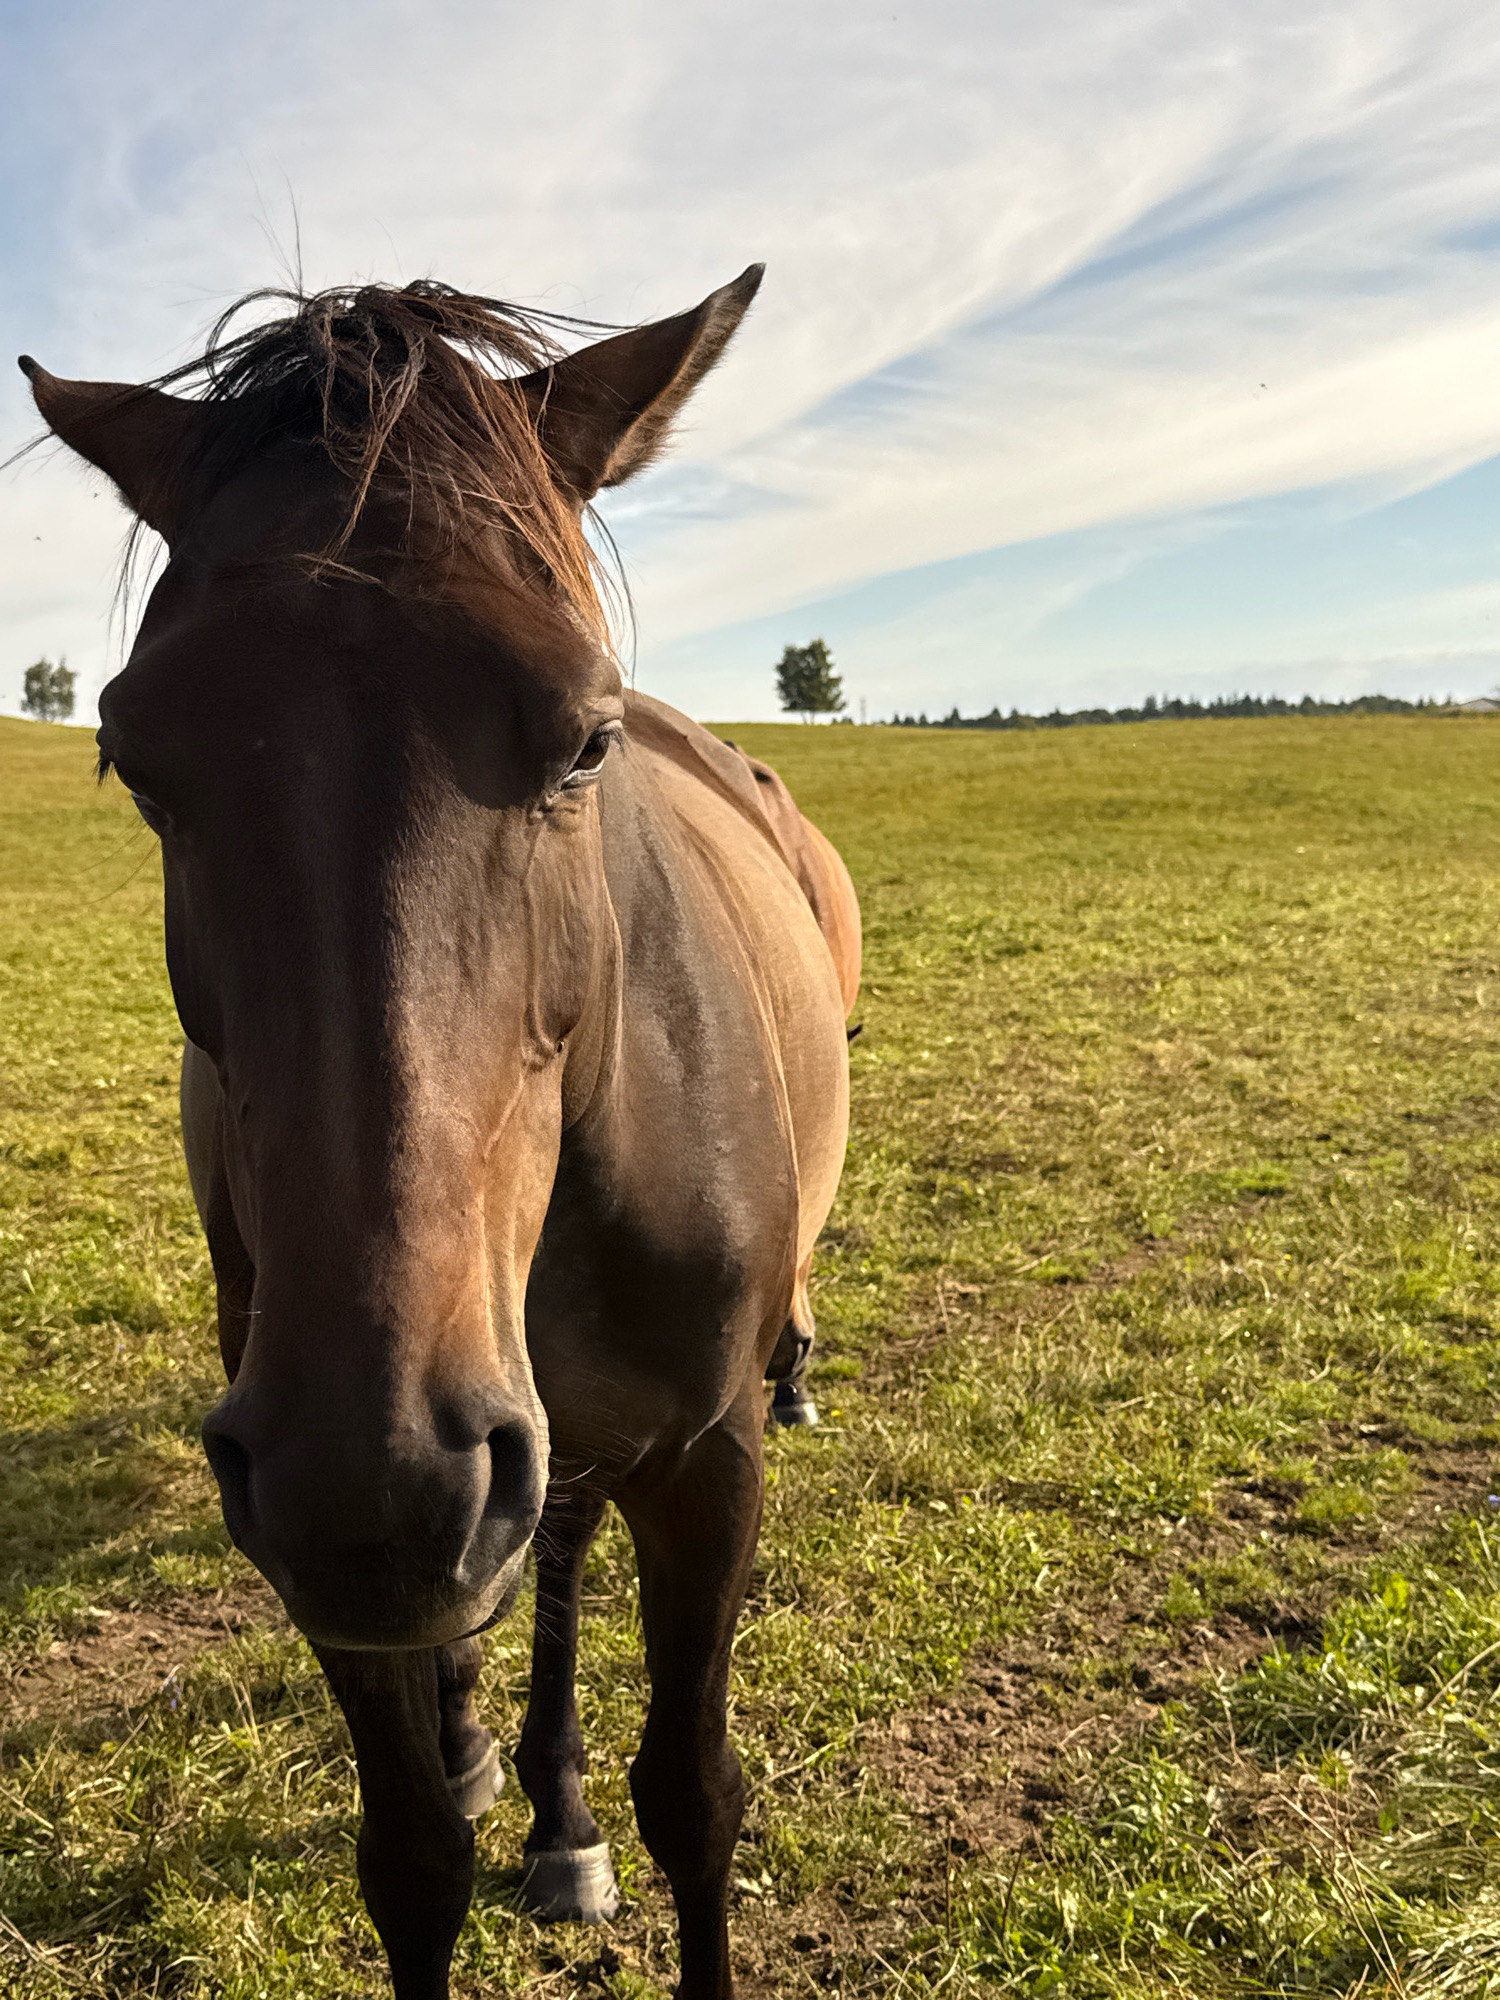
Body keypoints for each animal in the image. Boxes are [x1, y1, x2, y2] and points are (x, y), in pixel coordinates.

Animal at [21, 266, 860, 2000]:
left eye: (585, 740)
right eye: (133, 757)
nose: (382, 1485)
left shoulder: (704, 1460)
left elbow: (697, 1796)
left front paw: (598, 1811)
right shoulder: (309, 1504)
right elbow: (408, 1856)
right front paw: (470, 1785)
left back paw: (559, 1806)